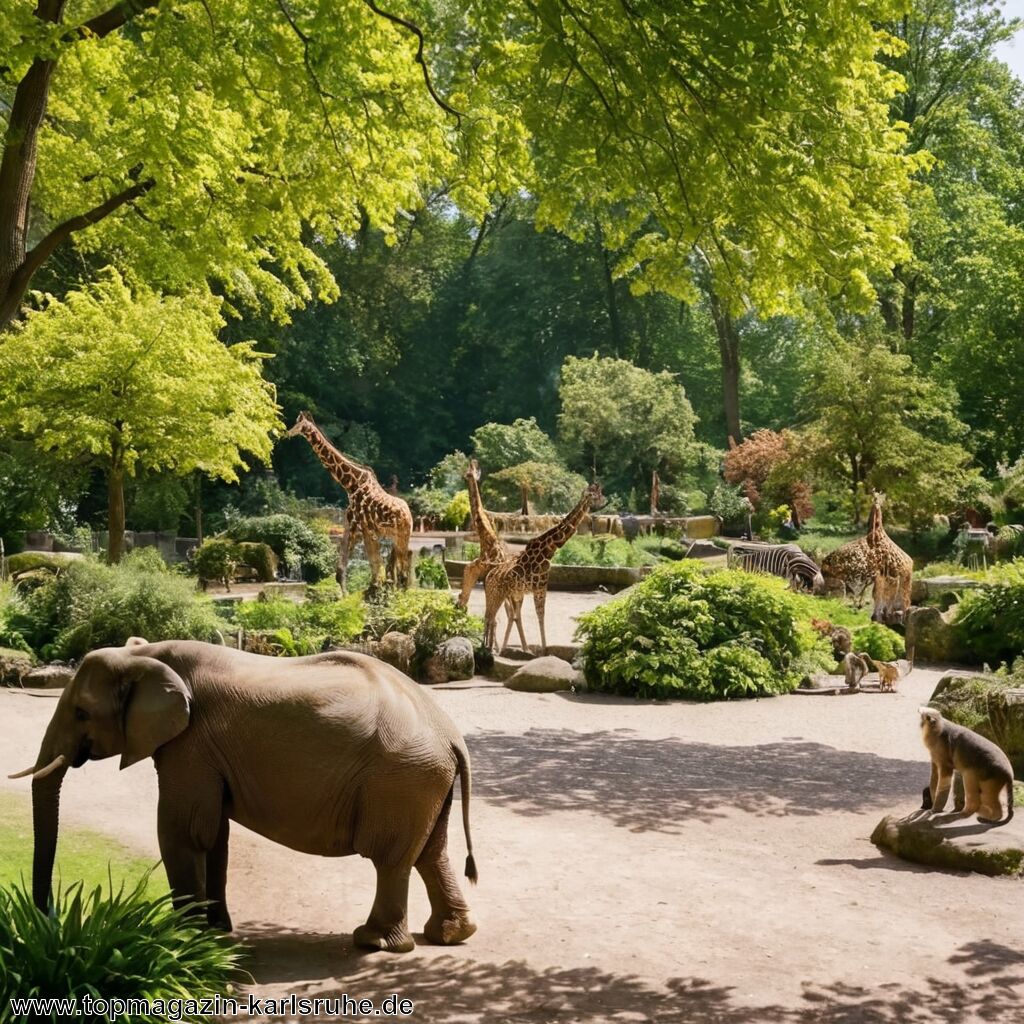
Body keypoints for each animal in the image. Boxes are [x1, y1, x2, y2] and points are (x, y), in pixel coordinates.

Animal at [9, 638, 479, 950]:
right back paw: (449, 935)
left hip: (400, 778)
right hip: (422, 780)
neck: (145, 655)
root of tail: (451, 734)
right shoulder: (202, 752)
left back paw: (373, 942)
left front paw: (182, 941)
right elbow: (214, 836)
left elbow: (183, 831)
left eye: (81, 713)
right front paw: (214, 935)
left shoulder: (191, 745)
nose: (47, 920)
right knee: (430, 852)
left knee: (391, 858)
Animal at [284, 413, 411, 593]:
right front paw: (355, 593)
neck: (351, 485)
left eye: (299, 425)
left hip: (402, 536)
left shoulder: (363, 527)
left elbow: (373, 562)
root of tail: (409, 515)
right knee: (397, 569)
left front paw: (372, 588)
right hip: (396, 537)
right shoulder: (351, 524)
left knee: (403, 570)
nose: (287, 433)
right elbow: (342, 569)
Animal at [483, 481, 602, 655]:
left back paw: (507, 648)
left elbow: (536, 616)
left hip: (511, 594)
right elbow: (541, 616)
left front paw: (536, 650)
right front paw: (544, 650)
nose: (601, 504)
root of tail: (488, 576)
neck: (550, 549)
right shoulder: (540, 586)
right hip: (497, 594)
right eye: (594, 495)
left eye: (600, 494)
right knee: (492, 616)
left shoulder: (535, 588)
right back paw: (489, 649)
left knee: (507, 616)